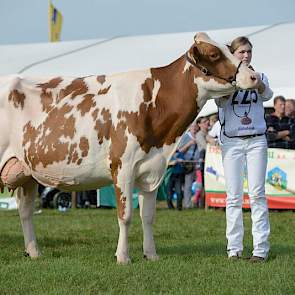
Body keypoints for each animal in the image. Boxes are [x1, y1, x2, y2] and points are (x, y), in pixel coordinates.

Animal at [0, 33, 260, 264]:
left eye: (230, 48)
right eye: (214, 54)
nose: (254, 76)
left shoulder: (152, 169)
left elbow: (148, 216)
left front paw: (151, 255)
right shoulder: (122, 167)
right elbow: (125, 216)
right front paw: (123, 256)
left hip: (26, 172)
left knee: (25, 211)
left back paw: (34, 252)